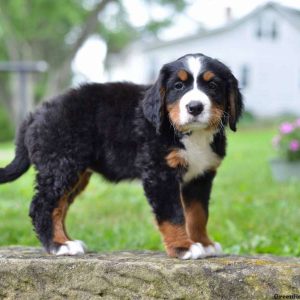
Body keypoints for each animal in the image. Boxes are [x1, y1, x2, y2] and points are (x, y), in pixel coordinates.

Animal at [0, 52, 243, 258]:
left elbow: (198, 214)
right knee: (43, 206)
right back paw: (59, 245)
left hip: (74, 172)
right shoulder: (160, 173)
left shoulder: (200, 175)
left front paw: (204, 243)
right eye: (178, 86)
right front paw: (183, 247)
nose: (195, 107)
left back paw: (68, 241)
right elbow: (173, 215)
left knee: (59, 207)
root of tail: (35, 114)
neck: (190, 135)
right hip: (61, 165)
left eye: (212, 85)